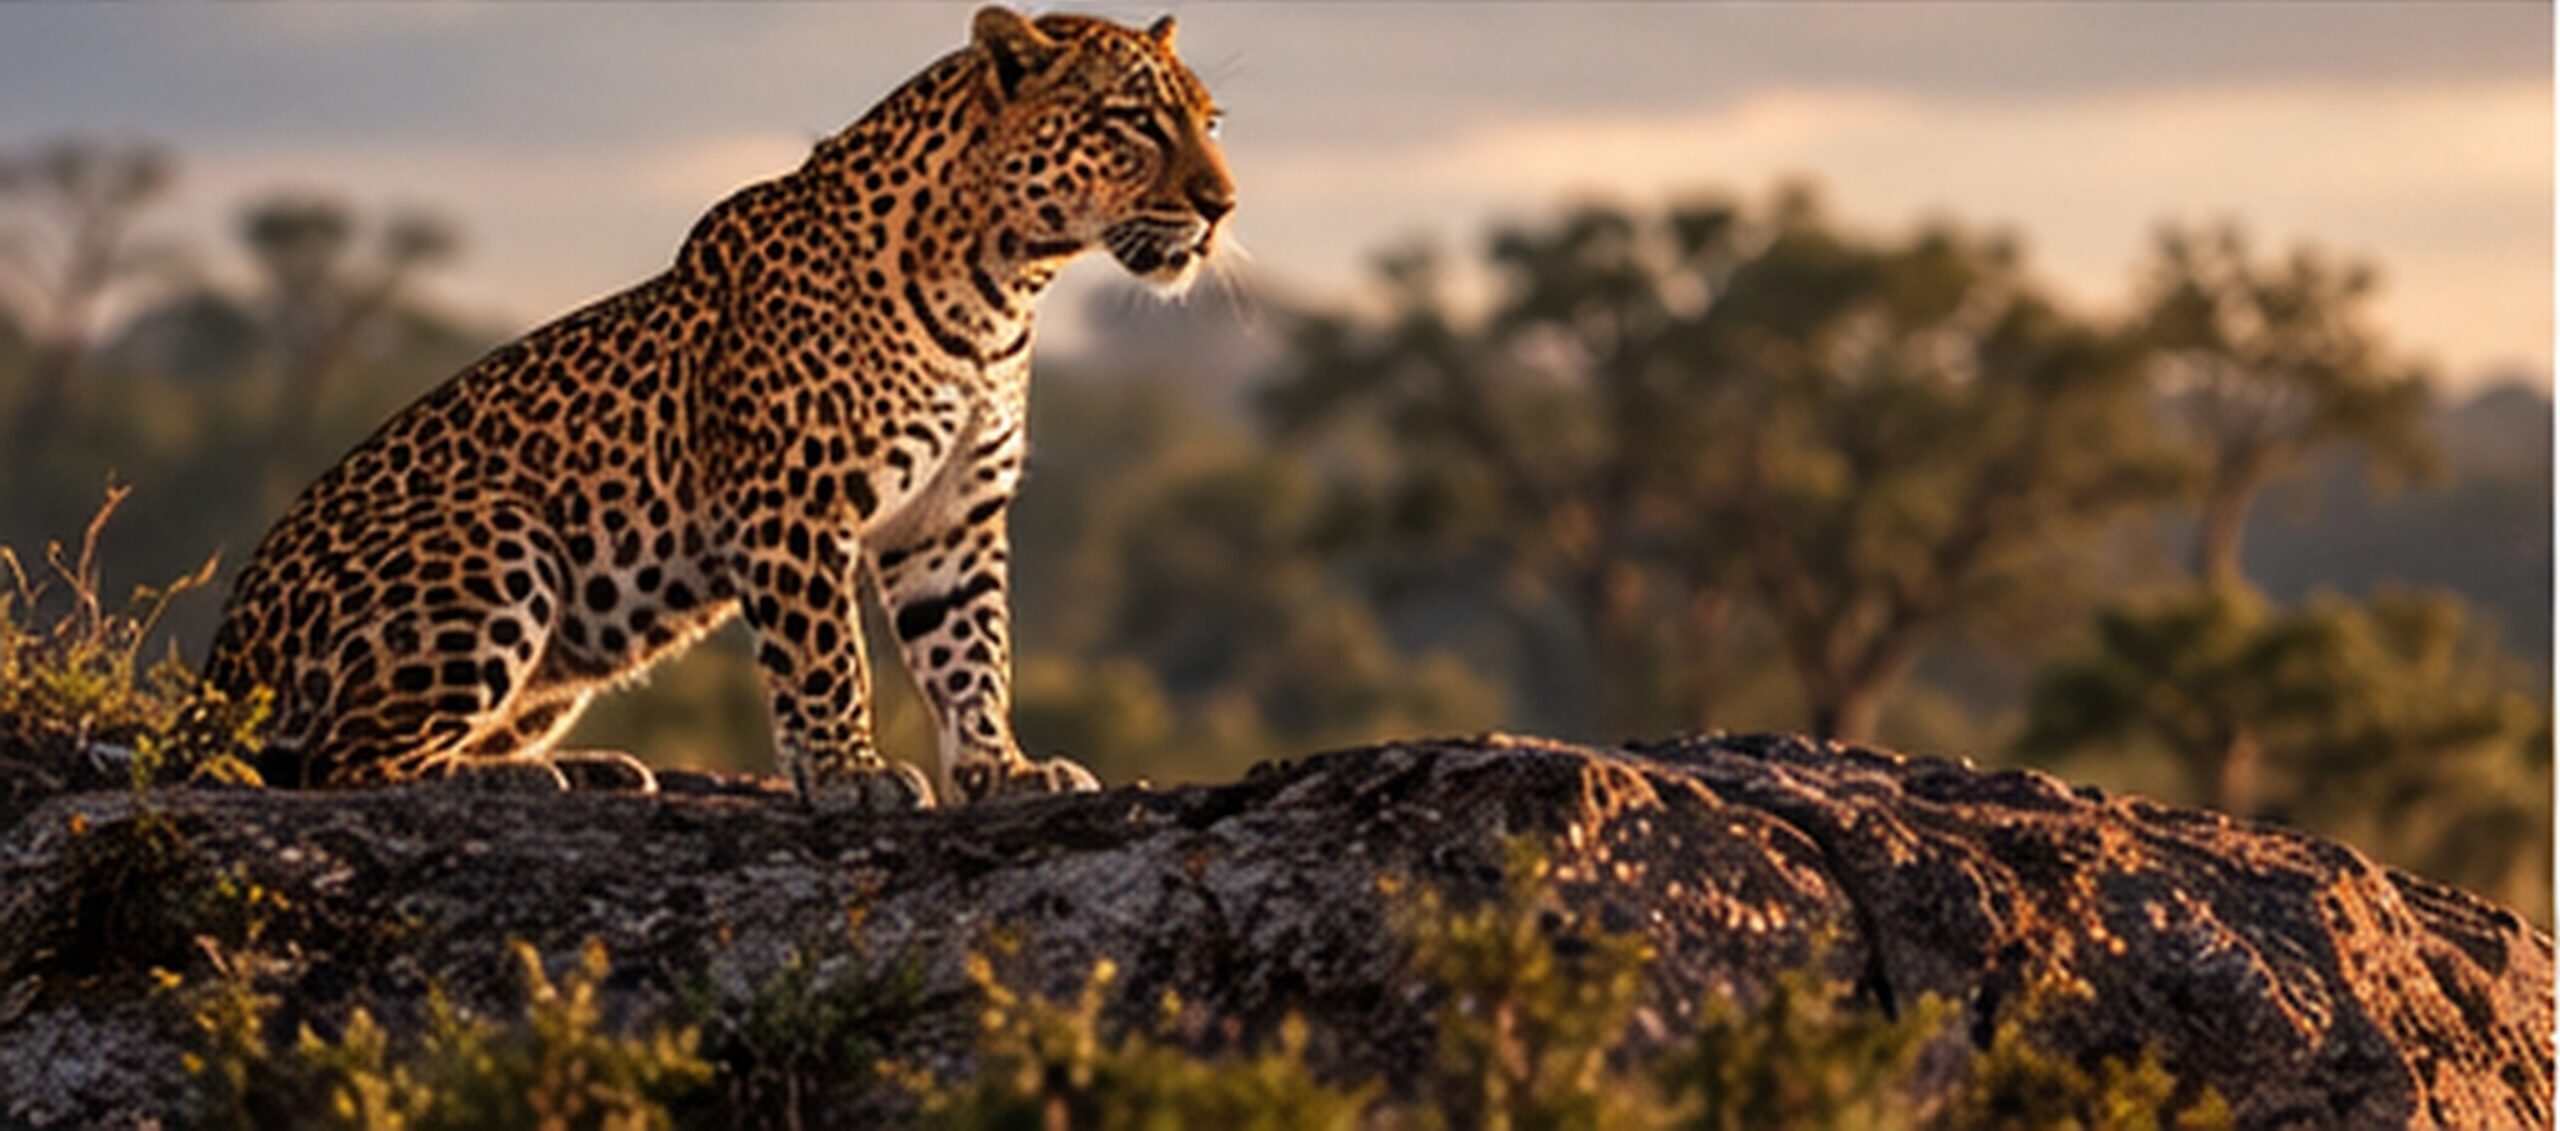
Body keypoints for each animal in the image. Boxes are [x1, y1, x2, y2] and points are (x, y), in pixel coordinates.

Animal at [200, 6, 1235, 808]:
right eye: (1134, 123)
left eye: (1210, 122)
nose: (1222, 205)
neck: (1005, 283)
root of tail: (220, 662)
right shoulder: (794, 503)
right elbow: (826, 653)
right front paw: (848, 773)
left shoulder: (950, 518)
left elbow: (972, 650)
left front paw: (1004, 771)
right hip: (499, 537)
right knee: (341, 761)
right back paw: (518, 780)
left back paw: (595, 767)